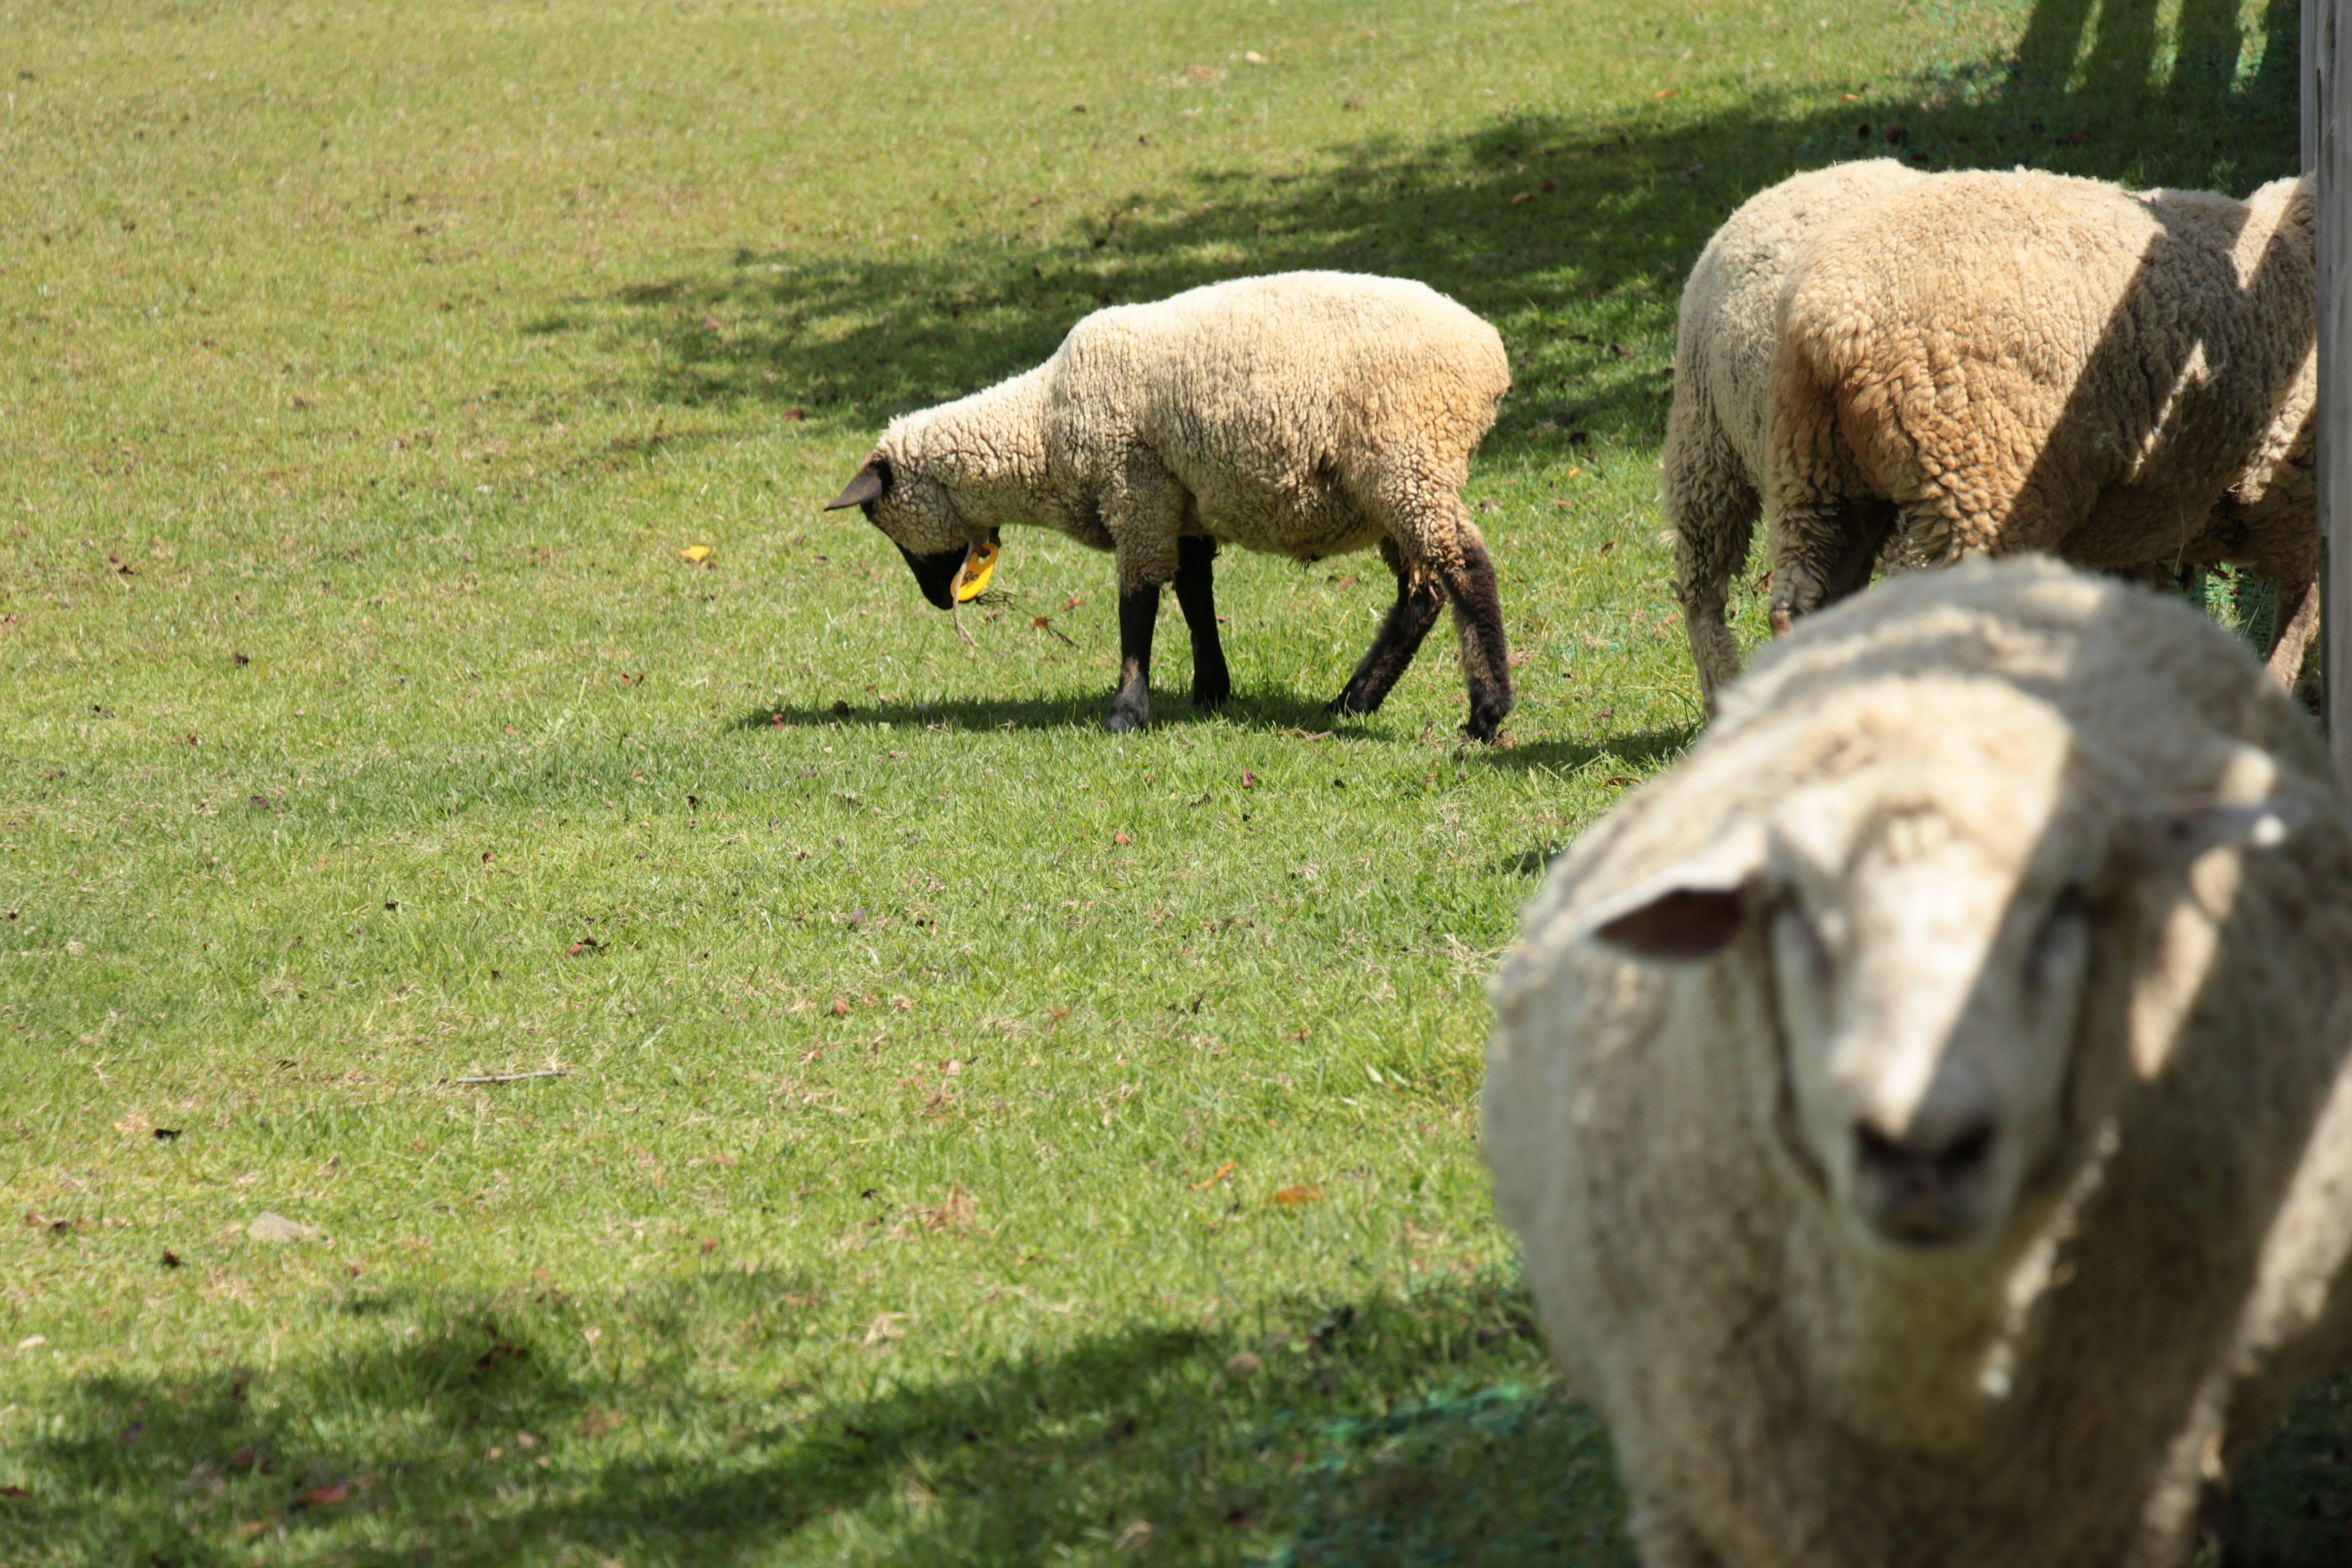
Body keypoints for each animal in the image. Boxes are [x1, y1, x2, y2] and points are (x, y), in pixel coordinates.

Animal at [827, 270, 1514, 742]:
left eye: (877, 518)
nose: (937, 599)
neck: (1043, 428)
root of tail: (1490, 352)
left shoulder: (1137, 492)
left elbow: (1138, 605)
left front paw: (1127, 711)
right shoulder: (1180, 506)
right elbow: (1194, 596)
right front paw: (1210, 690)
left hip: (1407, 459)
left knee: (1466, 567)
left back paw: (1486, 713)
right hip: (1394, 484)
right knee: (1422, 595)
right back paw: (1354, 700)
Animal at [1768, 169, 2314, 691]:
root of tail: (1831, 323)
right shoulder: (2296, 497)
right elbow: (2297, 618)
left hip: (1817, 475)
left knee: (1801, 604)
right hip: (1971, 482)